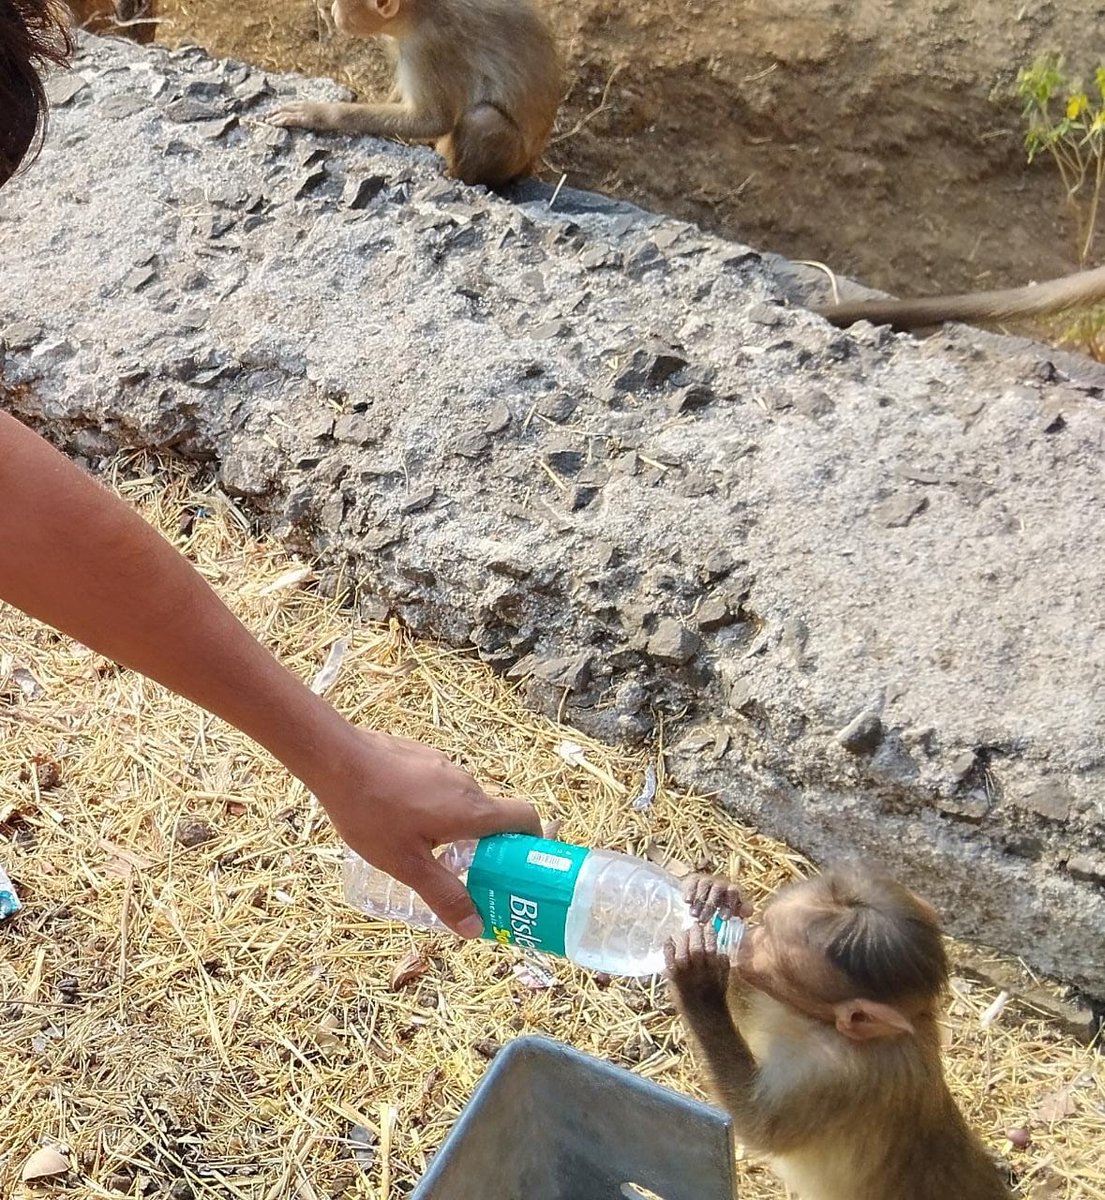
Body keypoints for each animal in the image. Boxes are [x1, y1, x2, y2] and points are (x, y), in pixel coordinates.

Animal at [269, 0, 561, 189]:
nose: (330, 8)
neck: (419, 11)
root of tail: (530, 163)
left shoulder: (428, 48)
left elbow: (433, 120)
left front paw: (319, 113)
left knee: (482, 118)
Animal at [666, 868, 1013, 1200]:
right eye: (763, 929)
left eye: (771, 958)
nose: (746, 941)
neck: (824, 1026)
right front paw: (717, 892)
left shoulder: (836, 1077)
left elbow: (759, 1124)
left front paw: (699, 982)